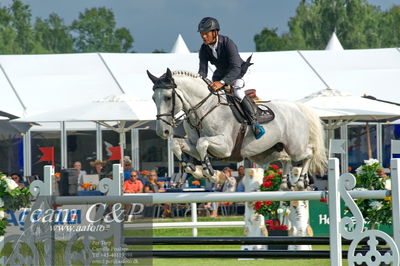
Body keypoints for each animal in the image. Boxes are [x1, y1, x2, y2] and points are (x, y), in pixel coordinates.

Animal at [147, 69, 328, 185]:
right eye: (153, 98)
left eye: (168, 97)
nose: (163, 131)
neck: (203, 110)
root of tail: (298, 108)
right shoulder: (193, 144)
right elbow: (176, 144)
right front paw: (192, 168)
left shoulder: (225, 147)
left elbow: (202, 143)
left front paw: (212, 174)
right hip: (268, 153)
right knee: (287, 160)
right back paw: (288, 183)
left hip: (295, 148)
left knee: (309, 152)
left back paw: (302, 181)